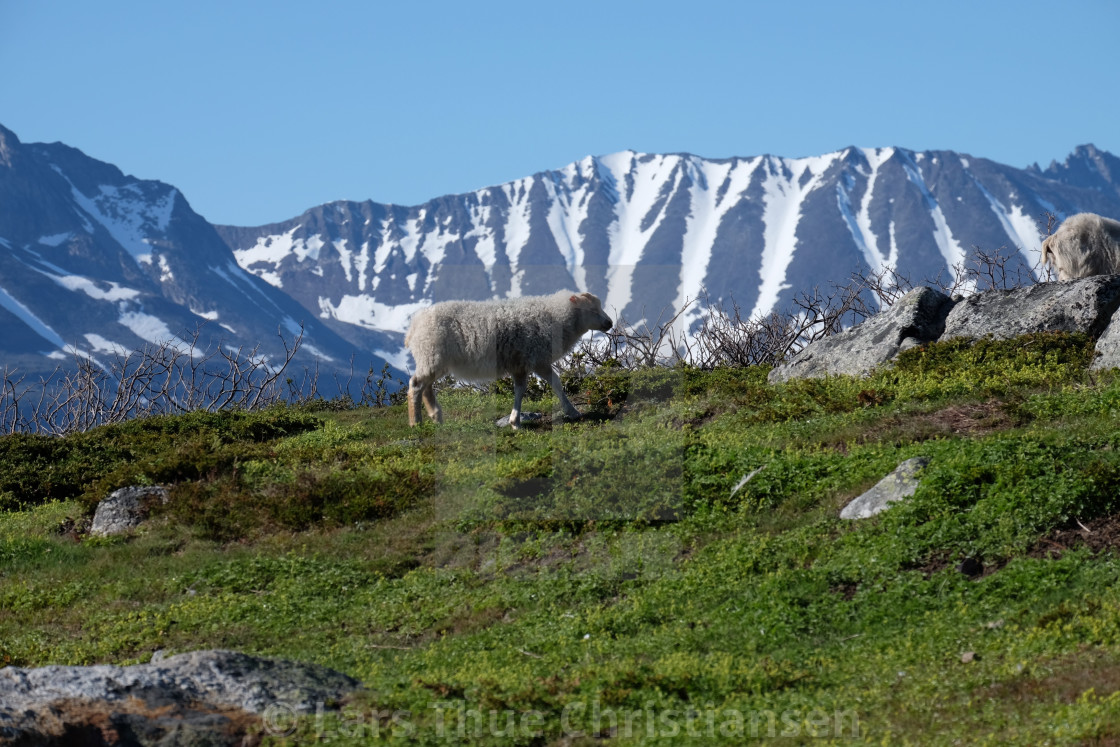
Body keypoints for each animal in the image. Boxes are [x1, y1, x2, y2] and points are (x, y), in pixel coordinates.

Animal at [403, 291, 613, 430]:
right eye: (593, 310)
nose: (610, 323)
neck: (558, 318)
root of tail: (415, 324)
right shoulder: (537, 359)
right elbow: (555, 383)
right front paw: (572, 411)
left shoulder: (521, 363)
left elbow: (523, 389)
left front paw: (515, 421)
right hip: (431, 355)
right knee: (416, 385)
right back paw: (415, 422)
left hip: (433, 360)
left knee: (426, 387)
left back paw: (436, 417)